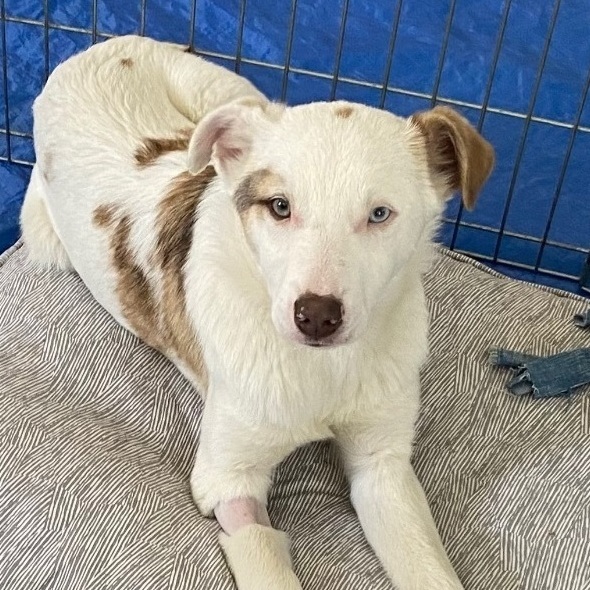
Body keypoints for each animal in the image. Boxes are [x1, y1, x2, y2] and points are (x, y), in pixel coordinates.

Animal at [20, 35, 494, 590]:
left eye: (380, 214)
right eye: (279, 206)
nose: (316, 315)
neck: (322, 368)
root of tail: (103, 45)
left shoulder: (384, 465)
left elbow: (427, 564)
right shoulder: (228, 480)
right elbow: (263, 555)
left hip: (232, 92)